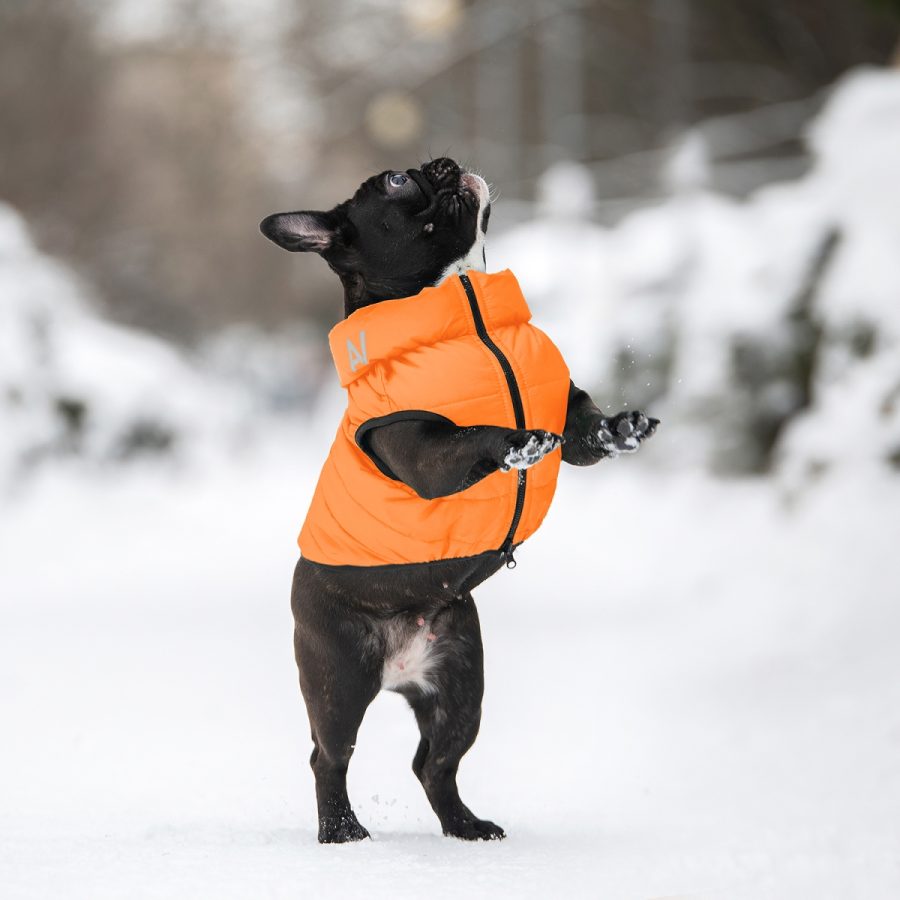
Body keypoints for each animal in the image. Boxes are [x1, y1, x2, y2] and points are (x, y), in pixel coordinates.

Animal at [258, 156, 652, 844]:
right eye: (395, 183)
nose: (440, 164)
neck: (462, 303)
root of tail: (398, 667)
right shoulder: (422, 450)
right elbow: (473, 437)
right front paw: (516, 443)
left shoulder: (569, 415)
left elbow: (588, 430)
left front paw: (621, 427)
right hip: (337, 679)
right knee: (328, 756)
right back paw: (341, 830)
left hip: (461, 683)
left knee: (433, 763)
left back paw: (466, 826)